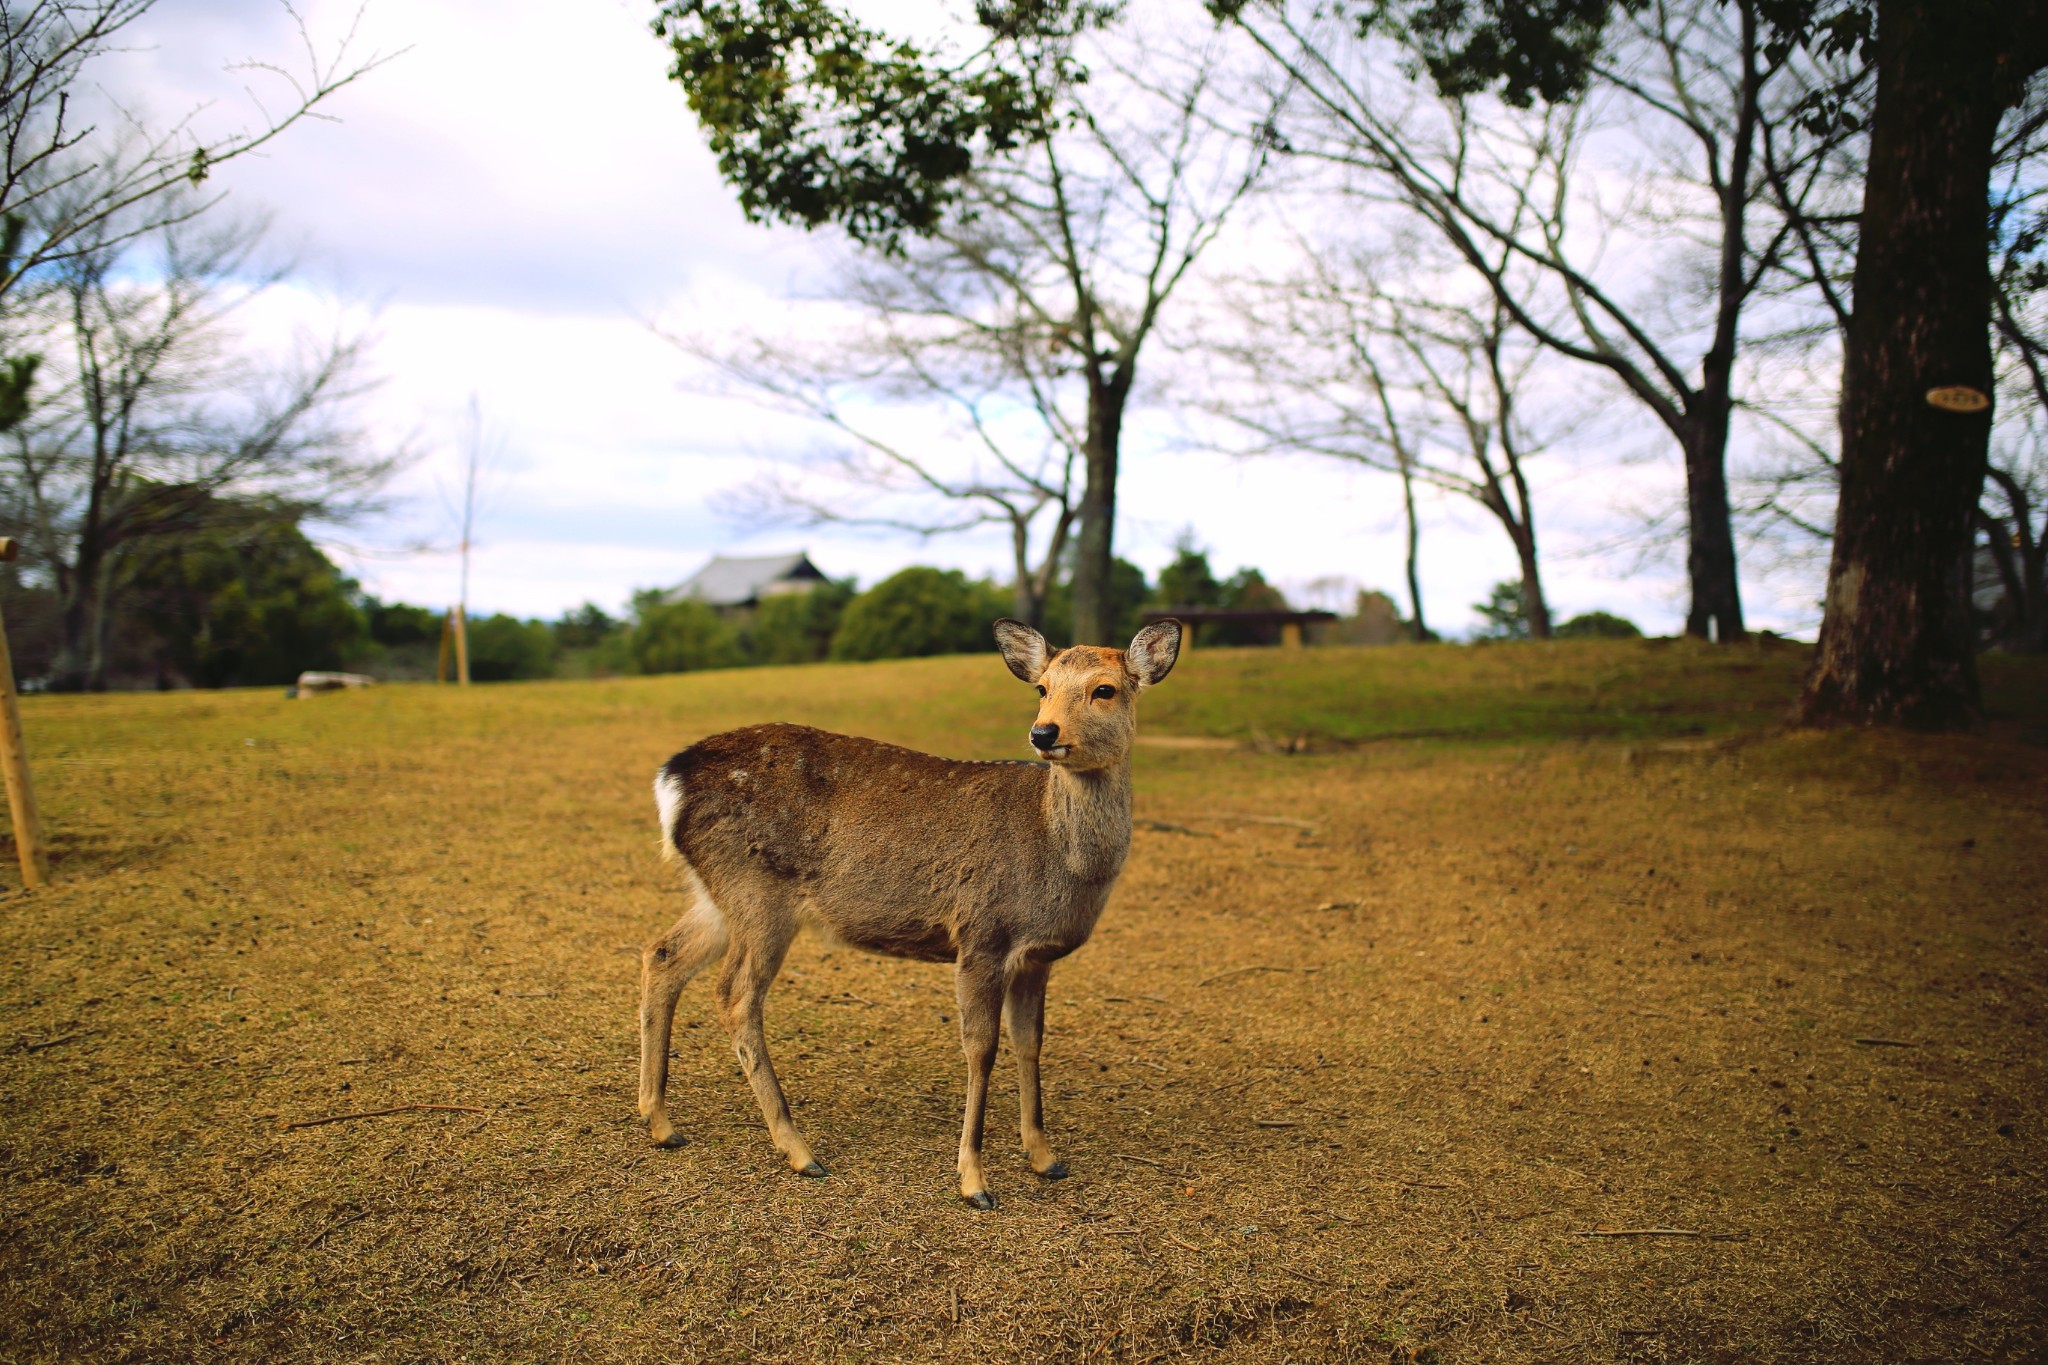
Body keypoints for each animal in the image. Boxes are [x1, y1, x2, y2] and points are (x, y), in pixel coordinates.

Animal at [638, 618, 1187, 1203]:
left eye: (1104, 689)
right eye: (1042, 688)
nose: (1044, 733)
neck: (1057, 858)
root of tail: (670, 781)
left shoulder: (1037, 957)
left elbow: (1031, 1043)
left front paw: (1045, 1158)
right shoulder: (981, 932)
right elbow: (982, 1048)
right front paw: (973, 1180)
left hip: (718, 895)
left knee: (663, 954)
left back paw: (662, 1123)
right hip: (757, 891)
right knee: (735, 994)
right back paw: (799, 1150)